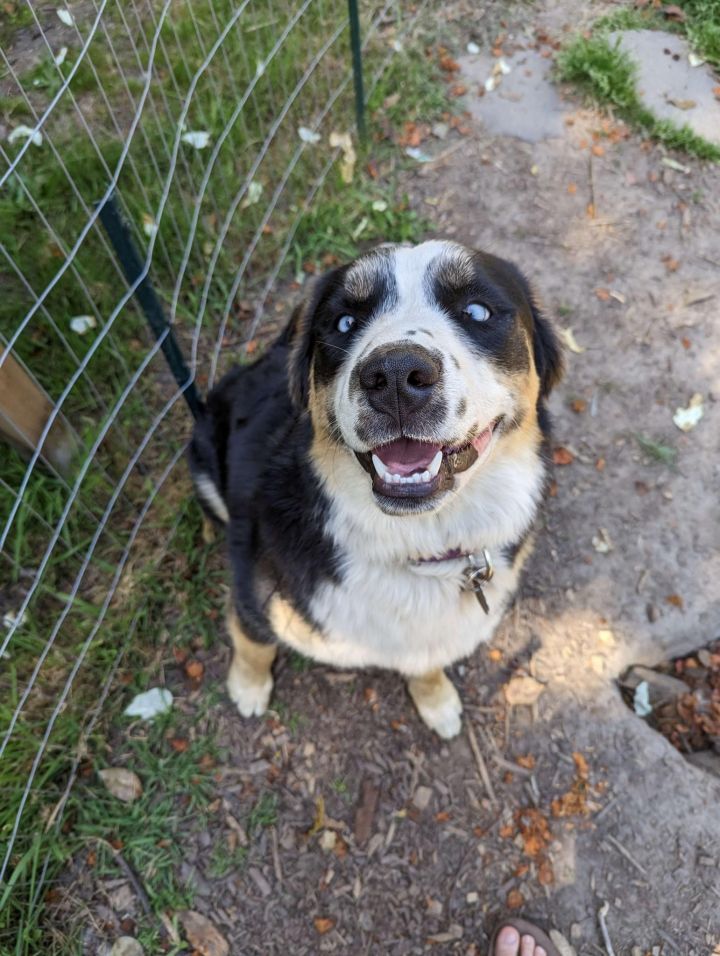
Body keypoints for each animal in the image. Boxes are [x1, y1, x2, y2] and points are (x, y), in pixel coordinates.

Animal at [190, 239, 564, 740]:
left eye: (477, 311)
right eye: (345, 321)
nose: (396, 375)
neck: (417, 543)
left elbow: (426, 664)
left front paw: (436, 700)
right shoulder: (255, 594)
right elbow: (253, 641)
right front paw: (248, 686)